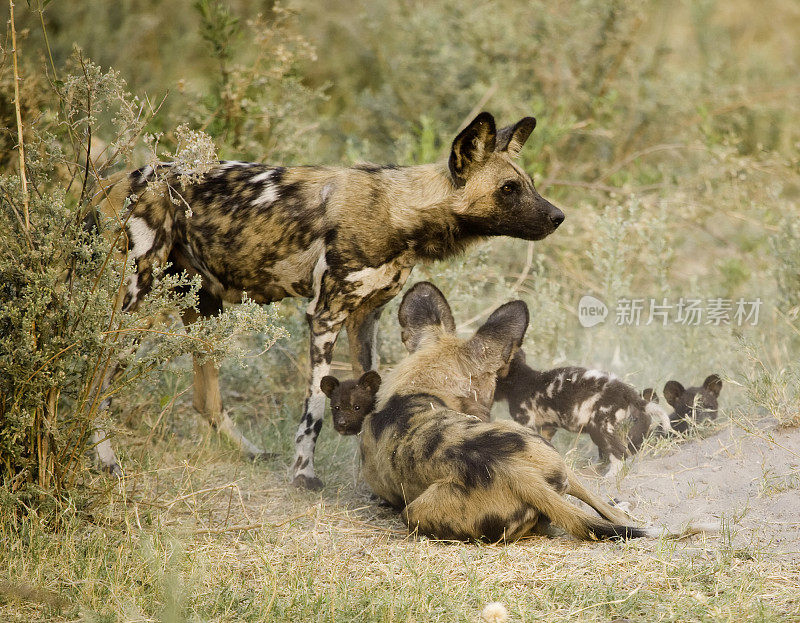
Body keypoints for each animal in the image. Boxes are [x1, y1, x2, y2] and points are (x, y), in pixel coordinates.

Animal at [87, 112, 564, 488]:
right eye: (508, 189)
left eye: (528, 184)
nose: (558, 216)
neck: (400, 213)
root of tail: (110, 180)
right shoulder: (325, 316)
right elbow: (314, 410)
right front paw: (304, 474)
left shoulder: (365, 319)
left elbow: (373, 390)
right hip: (136, 303)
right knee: (98, 386)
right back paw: (108, 462)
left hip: (202, 305)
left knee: (206, 399)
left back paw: (247, 451)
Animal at [494, 352, 676, 478]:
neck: (521, 379)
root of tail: (624, 389)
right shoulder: (547, 427)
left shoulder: (525, 421)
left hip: (599, 428)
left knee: (619, 453)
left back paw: (610, 476)